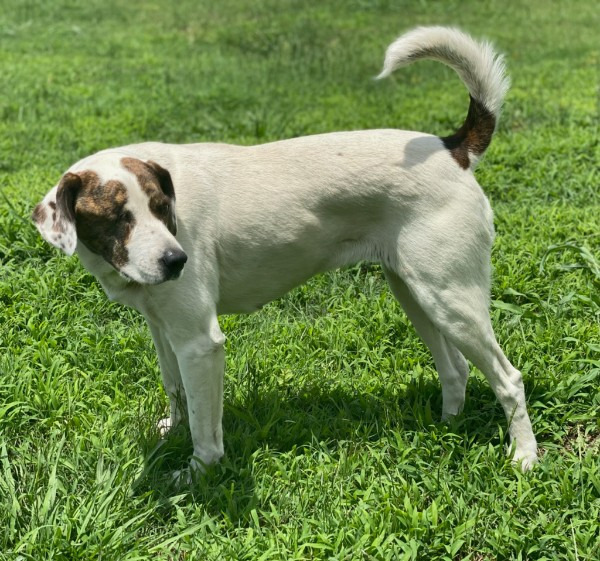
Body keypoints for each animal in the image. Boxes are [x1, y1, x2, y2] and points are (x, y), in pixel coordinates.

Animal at [32, 27, 540, 476]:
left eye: (160, 207)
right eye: (117, 216)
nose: (177, 262)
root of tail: (451, 148)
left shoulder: (200, 342)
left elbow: (203, 425)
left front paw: (197, 474)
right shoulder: (163, 328)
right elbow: (175, 391)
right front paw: (172, 435)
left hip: (451, 299)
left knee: (508, 379)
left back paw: (524, 457)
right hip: (416, 294)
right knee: (456, 369)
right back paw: (446, 427)